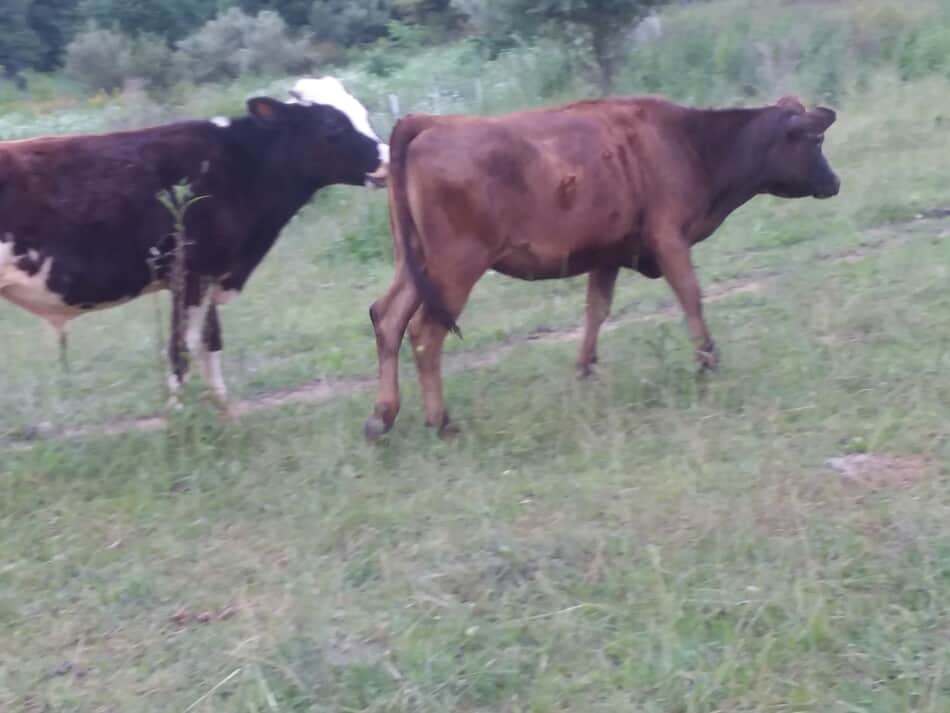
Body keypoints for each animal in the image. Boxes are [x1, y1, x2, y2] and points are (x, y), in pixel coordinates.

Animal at [0, 74, 388, 412]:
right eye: (332, 124)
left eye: (362, 113)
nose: (386, 160)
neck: (238, 165)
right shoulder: (191, 273)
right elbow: (181, 348)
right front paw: (178, 420)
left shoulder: (213, 270)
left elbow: (211, 342)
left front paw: (224, 412)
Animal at [364, 93, 840, 440]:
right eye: (815, 141)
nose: (835, 182)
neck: (689, 142)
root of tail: (429, 122)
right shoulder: (669, 238)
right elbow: (691, 295)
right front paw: (707, 360)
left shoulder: (607, 254)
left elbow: (596, 310)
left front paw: (585, 368)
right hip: (455, 269)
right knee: (425, 334)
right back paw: (441, 422)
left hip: (415, 265)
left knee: (387, 318)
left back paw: (381, 418)